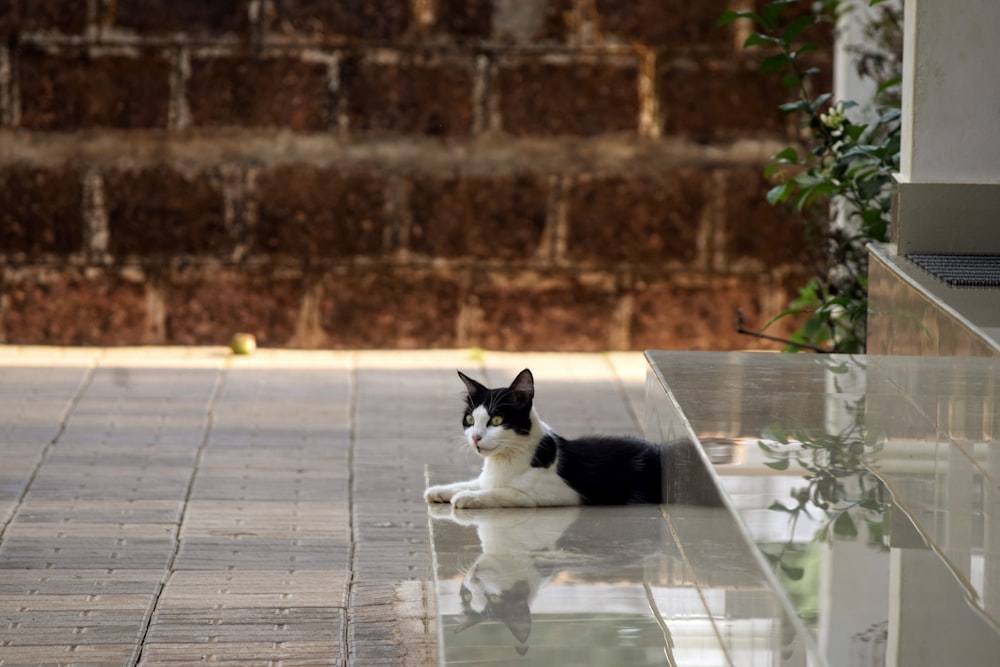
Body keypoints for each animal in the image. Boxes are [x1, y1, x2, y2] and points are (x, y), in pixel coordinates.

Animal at [424, 368, 664, 508]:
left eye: (496, 420)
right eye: (470, 419)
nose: (475, 437)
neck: (504, 460)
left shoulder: (554, 494)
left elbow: (501, 491)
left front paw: (466, 497)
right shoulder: (486, 478)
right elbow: (475, 482)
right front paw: (440, 491)